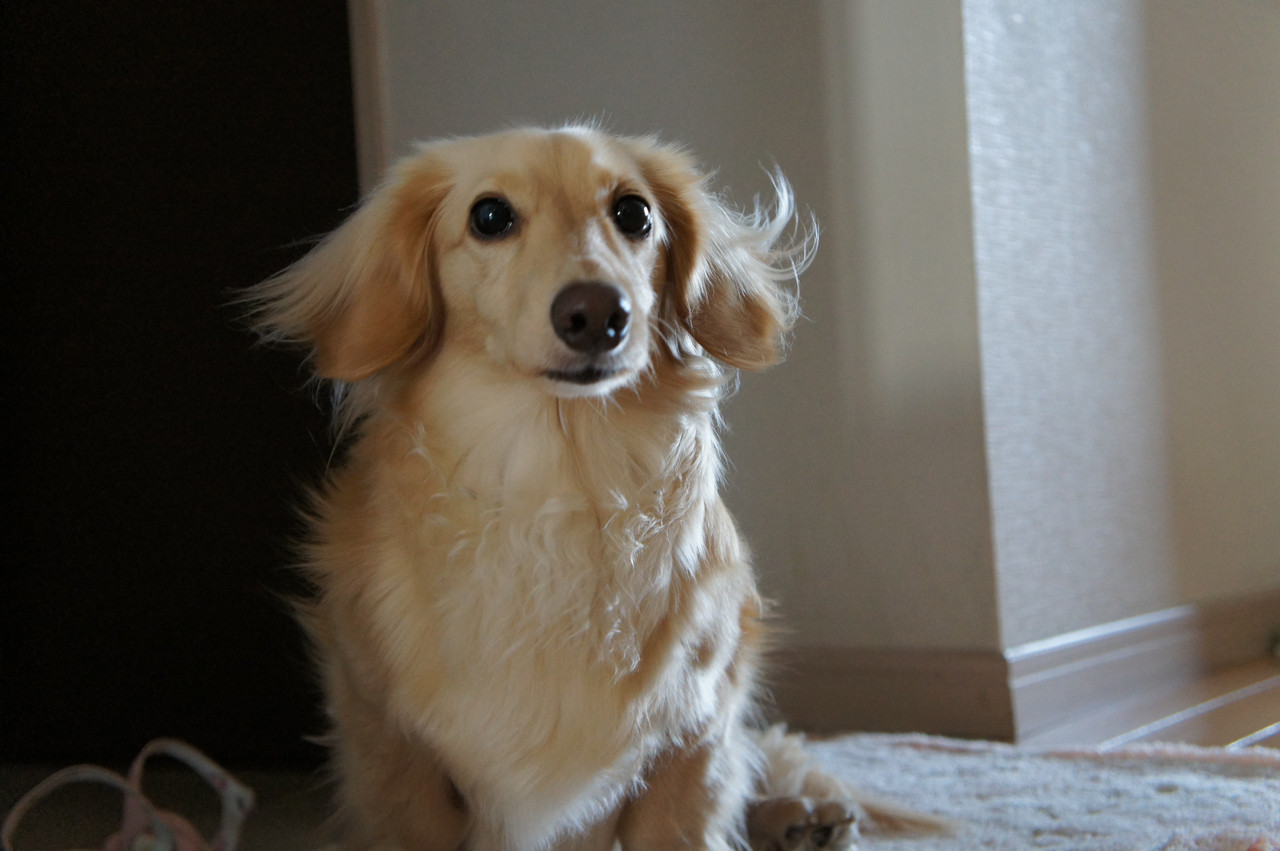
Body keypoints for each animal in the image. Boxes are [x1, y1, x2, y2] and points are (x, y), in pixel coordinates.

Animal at [248, 125, 862, 850]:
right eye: (489, 216)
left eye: (634, 213)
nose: (597, 313)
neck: (561, 486)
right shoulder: (395, 753)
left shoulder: (693, 739)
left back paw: (804, 814)